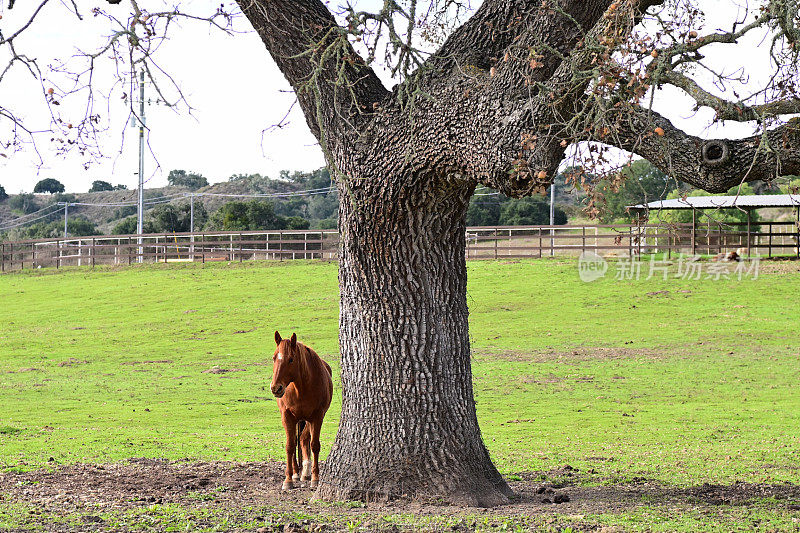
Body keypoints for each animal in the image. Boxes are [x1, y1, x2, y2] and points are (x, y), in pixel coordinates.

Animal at [268, 330, 332, 488]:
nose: (276, 388)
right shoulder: (287, 416)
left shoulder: (317, 416)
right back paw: (297, 473)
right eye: (274, 358)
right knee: (296, 440)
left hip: (307, 419)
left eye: (291, 359)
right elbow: (290, 446)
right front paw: (288, 480)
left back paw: (305, 472)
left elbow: (314, 445)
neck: (301, 388)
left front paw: (315, 478)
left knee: (303, 439)